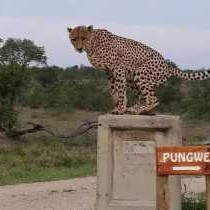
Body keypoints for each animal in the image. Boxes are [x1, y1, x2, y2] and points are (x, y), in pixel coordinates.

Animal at [67, 24, 210, 115]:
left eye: (83, 38)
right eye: (73, 39)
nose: (79, 48)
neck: (92, 44)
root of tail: (168, 65)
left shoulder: (118, 68)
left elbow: (120, 90)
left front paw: (121, 108)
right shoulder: (109, 72)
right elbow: (113, 91)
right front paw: (116, 108)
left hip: (141, 72)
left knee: (153, 98)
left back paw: (140, 110)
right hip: (132, 77)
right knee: (142, 96)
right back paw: (135, 109)